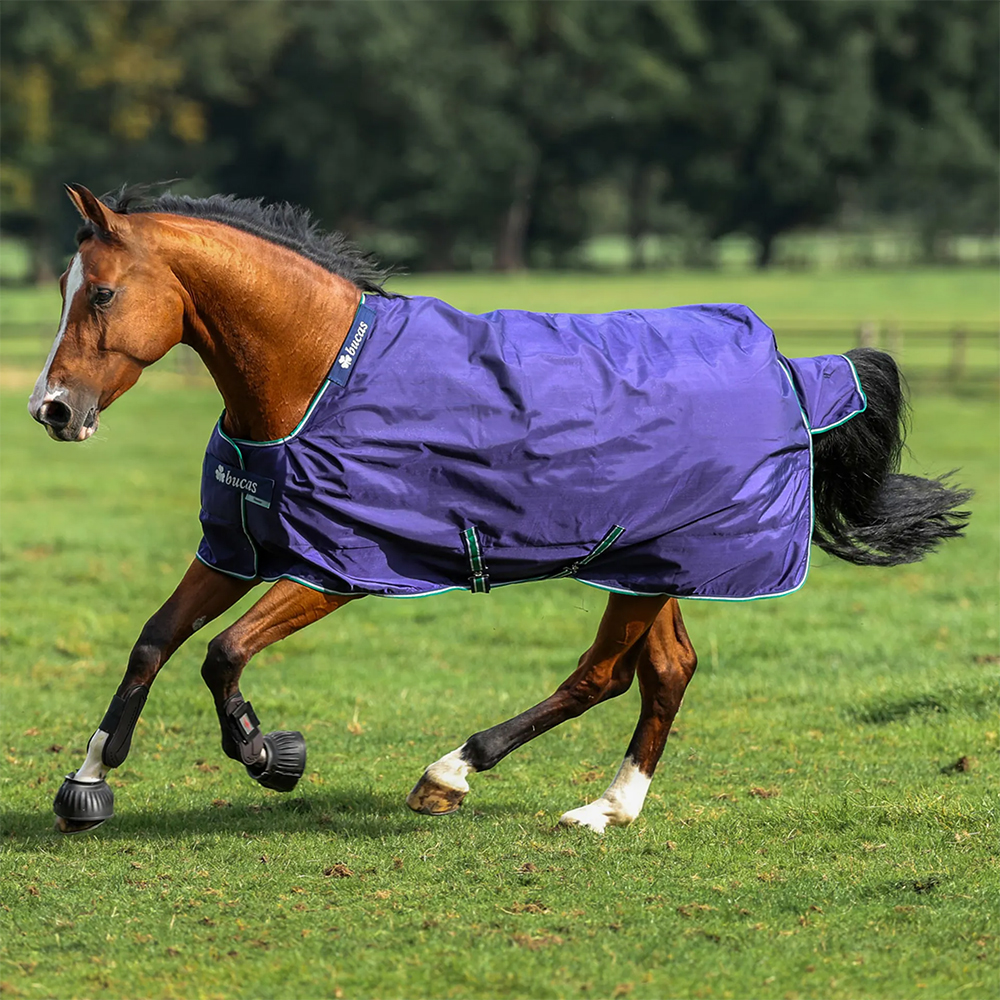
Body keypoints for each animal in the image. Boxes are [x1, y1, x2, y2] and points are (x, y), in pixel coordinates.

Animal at [30, 184, 971, 835]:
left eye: (101, 294)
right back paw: (609, 808)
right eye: (67, 290)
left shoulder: (334, 568)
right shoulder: (236, 550)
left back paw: (454, 772)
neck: (318, 373)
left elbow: (221, 654)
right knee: (667, 671)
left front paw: (269, 754)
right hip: (651, 564)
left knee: (605, 674)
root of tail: (789, 369)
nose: (52, 410)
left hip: (648, 566)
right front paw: (89, 783)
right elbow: (155, 641)